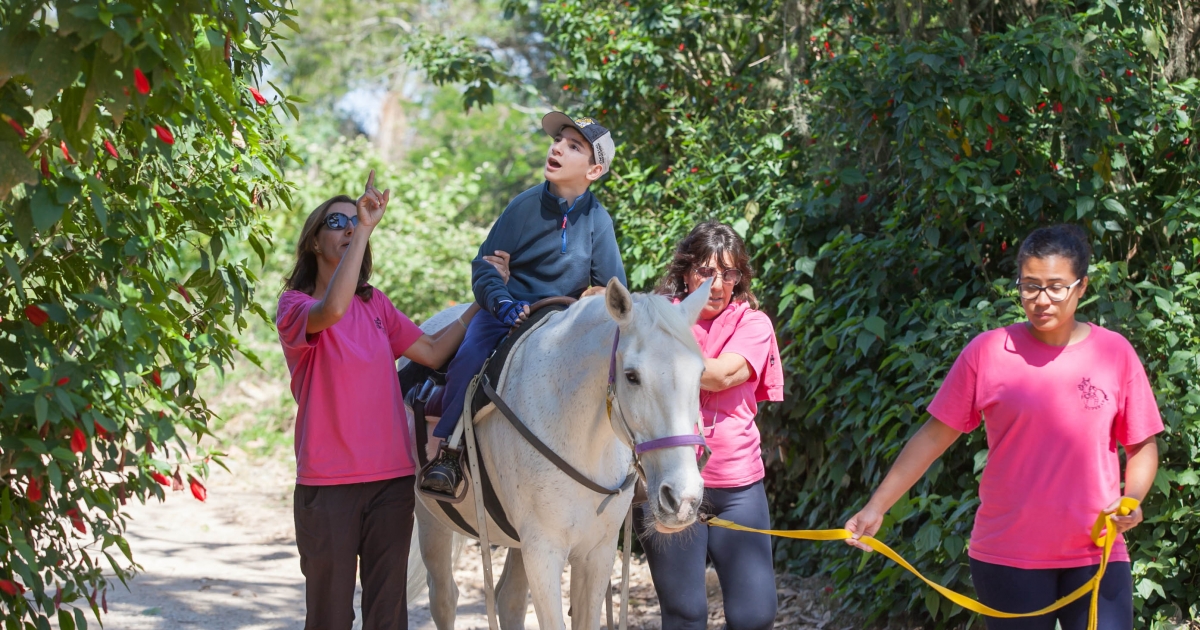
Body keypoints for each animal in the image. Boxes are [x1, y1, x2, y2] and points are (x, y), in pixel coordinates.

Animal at [408, 279, 710, 628]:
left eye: (701, 373)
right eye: (632, 376)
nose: (683, 498)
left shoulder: (597, 552)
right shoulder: (543, 551)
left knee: (508, 599)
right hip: (431, 519)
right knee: (444, 598)